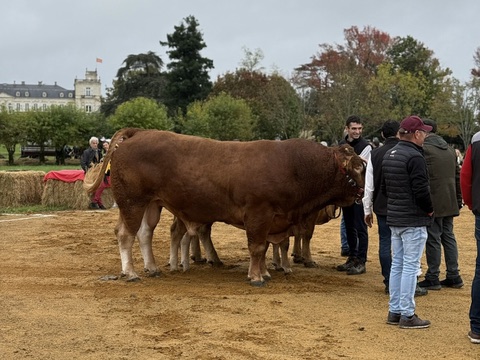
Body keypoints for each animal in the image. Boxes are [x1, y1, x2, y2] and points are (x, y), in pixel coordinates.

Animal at [86, 128, 364, 286]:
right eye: (359, 168)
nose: (362, 194)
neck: (293, 166)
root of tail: (138, 134)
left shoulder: (272, 220)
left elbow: (265, 249)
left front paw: (265, 272)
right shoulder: (259, 214)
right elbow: (257, 247)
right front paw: (256, 277)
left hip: (152, 204)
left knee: (145, 234)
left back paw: (153, 268)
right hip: (132, 202)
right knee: (126, 234)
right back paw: (131, 272)